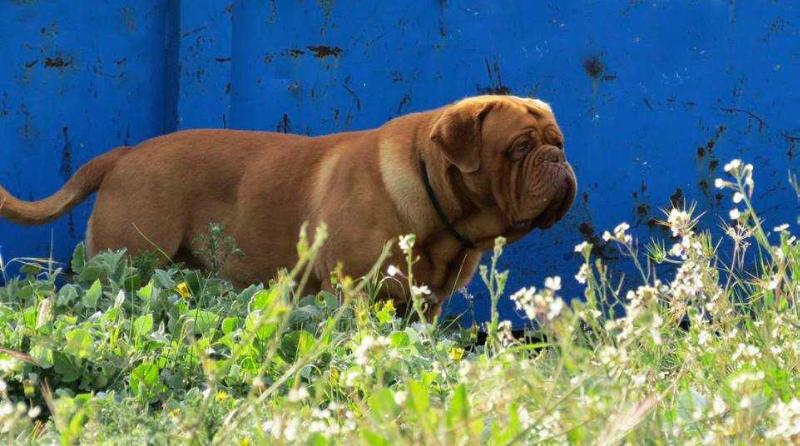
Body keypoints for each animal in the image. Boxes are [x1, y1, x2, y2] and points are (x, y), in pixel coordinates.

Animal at [0, 95, 576, 318]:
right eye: (520, 147)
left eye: (558, 141)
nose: (557, 160)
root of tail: (122, 155)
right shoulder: (353, 292)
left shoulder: (425, 305)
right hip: (128, 261)